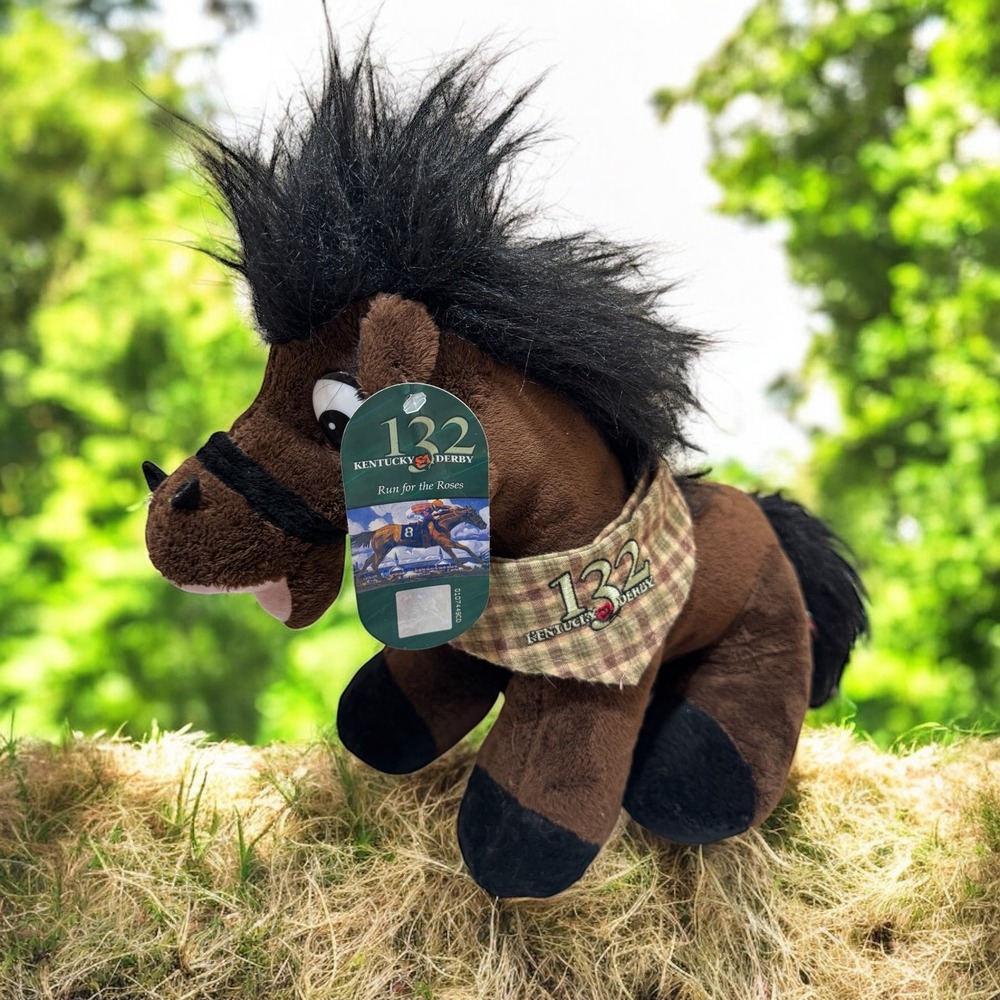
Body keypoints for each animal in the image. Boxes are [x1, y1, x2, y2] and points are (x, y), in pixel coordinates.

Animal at [354, 504, 487, 577]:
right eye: (474, 515)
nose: (484, 525)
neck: (441, 524)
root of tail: (376, 531)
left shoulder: (444, 544)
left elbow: (454, 555)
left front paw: (470, 565)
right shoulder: (445, 542)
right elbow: (465, 548)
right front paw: (478, 562)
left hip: (381, 550)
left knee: (368, 561)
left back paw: (360, 577)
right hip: (382, 551)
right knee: (374, 564)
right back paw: (383, 579)